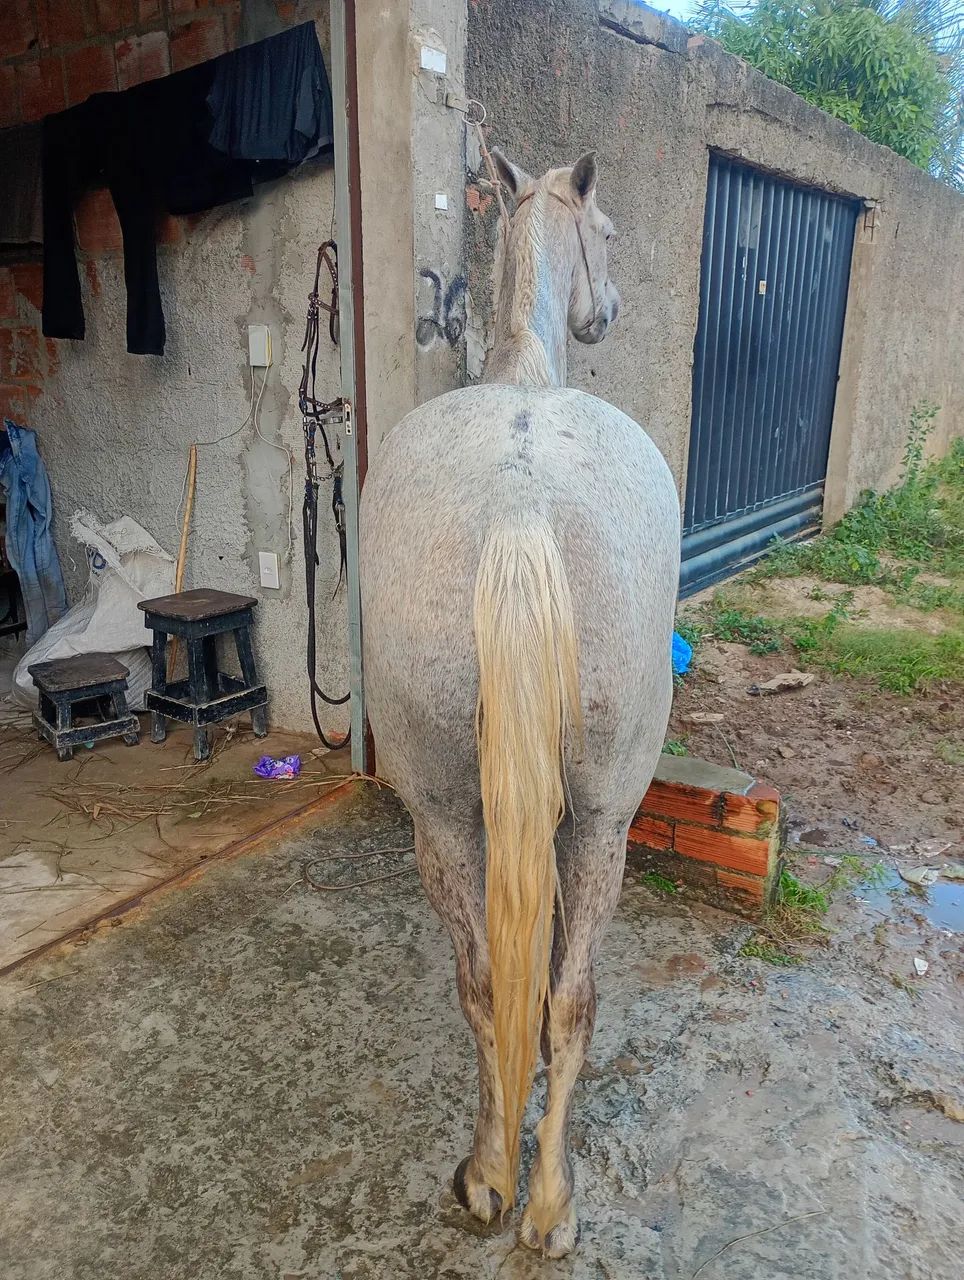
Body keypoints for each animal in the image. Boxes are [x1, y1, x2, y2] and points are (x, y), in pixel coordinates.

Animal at [358, 149, 680, 1257]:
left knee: (491, 984)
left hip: (446, 818)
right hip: (603, 820)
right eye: (611, 235)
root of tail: (519, 498)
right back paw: (549, 1201)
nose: (610, 311)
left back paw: (492, 1179)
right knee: (568, 996)